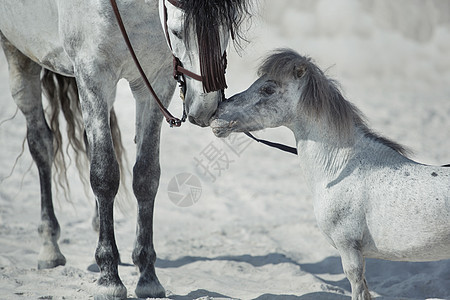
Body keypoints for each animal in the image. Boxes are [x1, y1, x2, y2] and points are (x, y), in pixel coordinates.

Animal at [0, 0, 250, 298]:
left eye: (227, 30)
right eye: (177, 32)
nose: (205, 108)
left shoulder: (154, 81)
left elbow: (146, 177)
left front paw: (147, 276)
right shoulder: (93, 76)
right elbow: (104, 175)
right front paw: (109, 278)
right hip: (18, 52)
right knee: (41, 144)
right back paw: (50, 246)